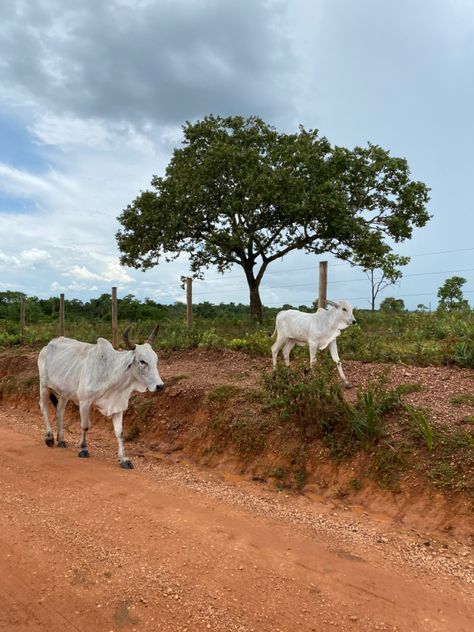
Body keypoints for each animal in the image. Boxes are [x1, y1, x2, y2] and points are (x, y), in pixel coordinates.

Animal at [37, 326, 164, 470]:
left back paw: (61, 440)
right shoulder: (84, 402)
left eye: (156, 360)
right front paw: (83, 449)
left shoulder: (118, 407)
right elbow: (85, 426)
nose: (160, 386)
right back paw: (49, 438)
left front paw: (124, 459)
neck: (111, 374)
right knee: (44, 407)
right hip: (44, 385)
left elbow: (119, 433)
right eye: (142, 361)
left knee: (59, 412)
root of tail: (48, 345)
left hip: (64, 392)